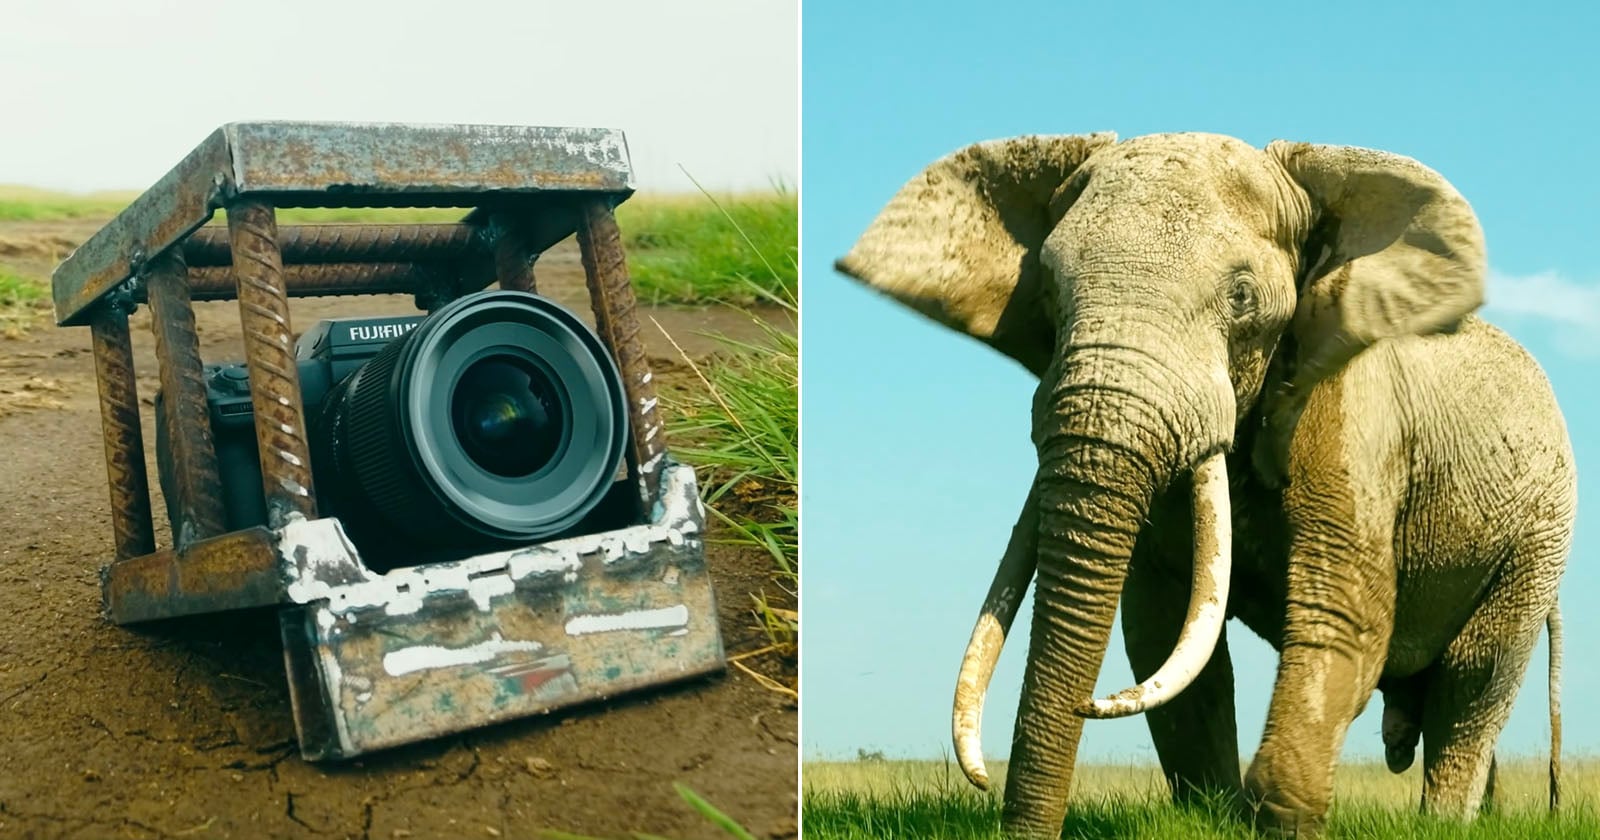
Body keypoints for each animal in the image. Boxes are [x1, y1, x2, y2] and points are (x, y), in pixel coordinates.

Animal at [835, 132, 1575, 837]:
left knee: (1473, 678)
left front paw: (1277, 819)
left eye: (1241, 297)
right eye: (1046, 292)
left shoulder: (1355, 419)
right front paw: (1212, 818)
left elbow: (1344, 620)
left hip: (1541, 532)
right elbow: (1165, 634)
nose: (1004, 807)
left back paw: (1444, 823)